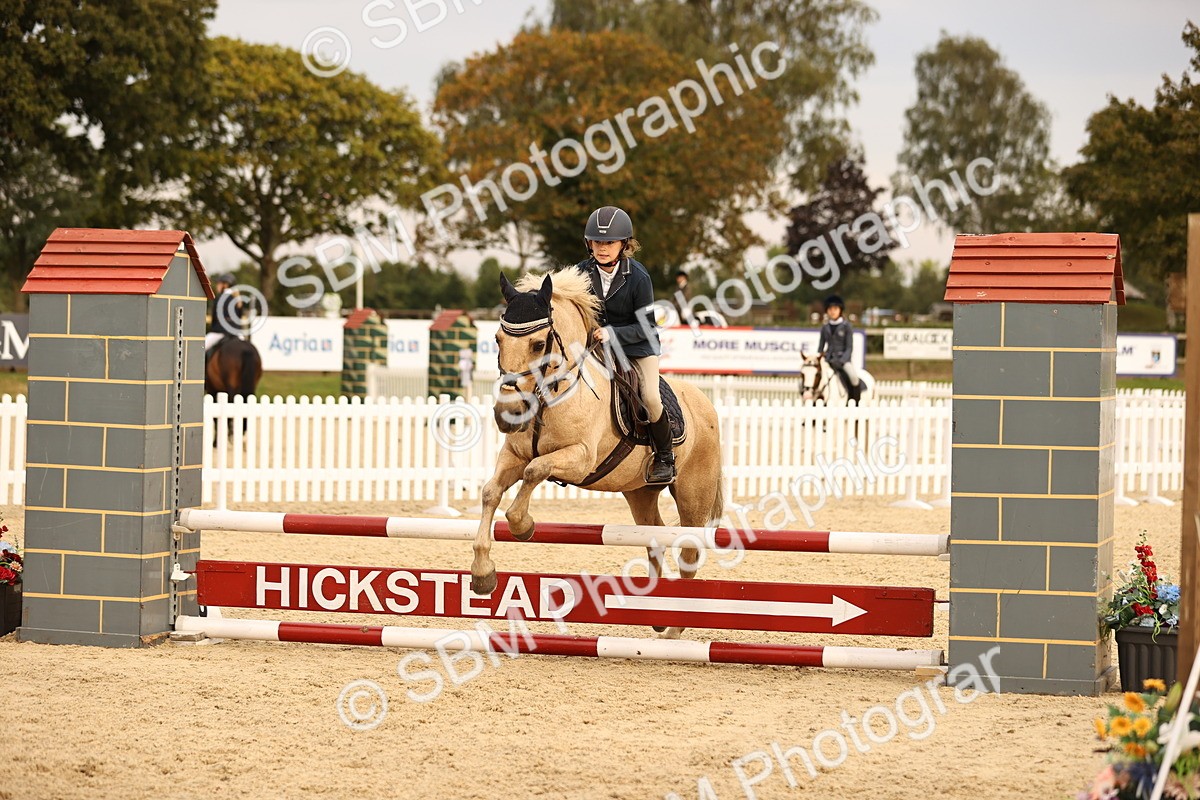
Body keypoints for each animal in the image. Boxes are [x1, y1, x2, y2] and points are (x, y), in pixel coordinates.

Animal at [471, 268, 724, 638]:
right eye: (498, 339)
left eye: (538, 344)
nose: (508, 413)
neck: (551, 394)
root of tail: (706, 404)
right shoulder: (513, 456)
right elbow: (491, 492)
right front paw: (482, 571)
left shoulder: (579, 458)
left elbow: (535, 471)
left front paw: (522, 525)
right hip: (640, 493)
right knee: (655, 537)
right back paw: (658, 612)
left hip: (694, 495)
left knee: (689, 554)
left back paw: (675, 631)